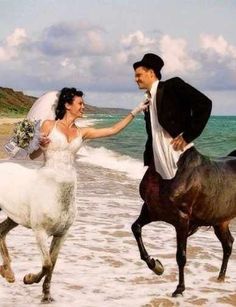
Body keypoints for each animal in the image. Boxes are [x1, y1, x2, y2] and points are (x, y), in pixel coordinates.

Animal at [131, 148, 236, 298]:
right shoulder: (150, 211)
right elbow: (136, 228)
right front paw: (156, 266)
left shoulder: (182, 220)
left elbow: (181, 256)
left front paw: (179, 289)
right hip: (220, 222)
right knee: (228, 244)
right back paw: (220, 279)